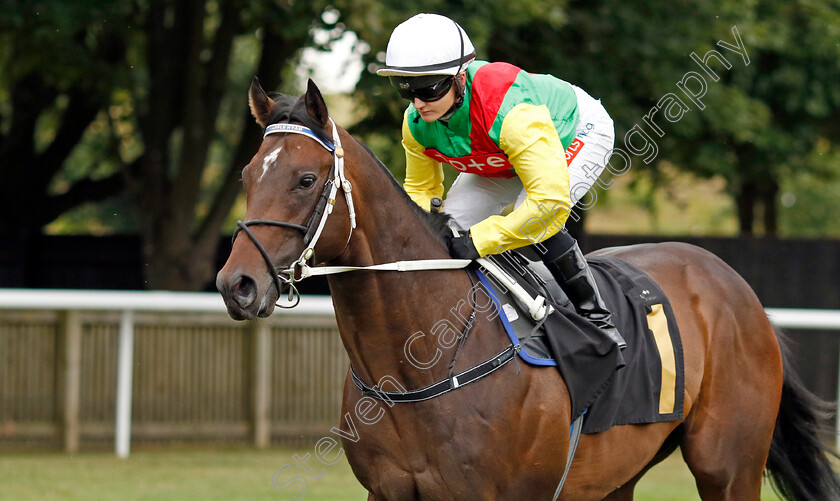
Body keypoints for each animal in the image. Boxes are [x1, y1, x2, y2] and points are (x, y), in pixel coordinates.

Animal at [215, 80, 840, 498]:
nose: (236, 284)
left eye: (305, 179)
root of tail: (738, 289)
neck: (420, 364)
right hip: (618, 474)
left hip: (727, 466)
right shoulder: (388, 490)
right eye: (246, 175)